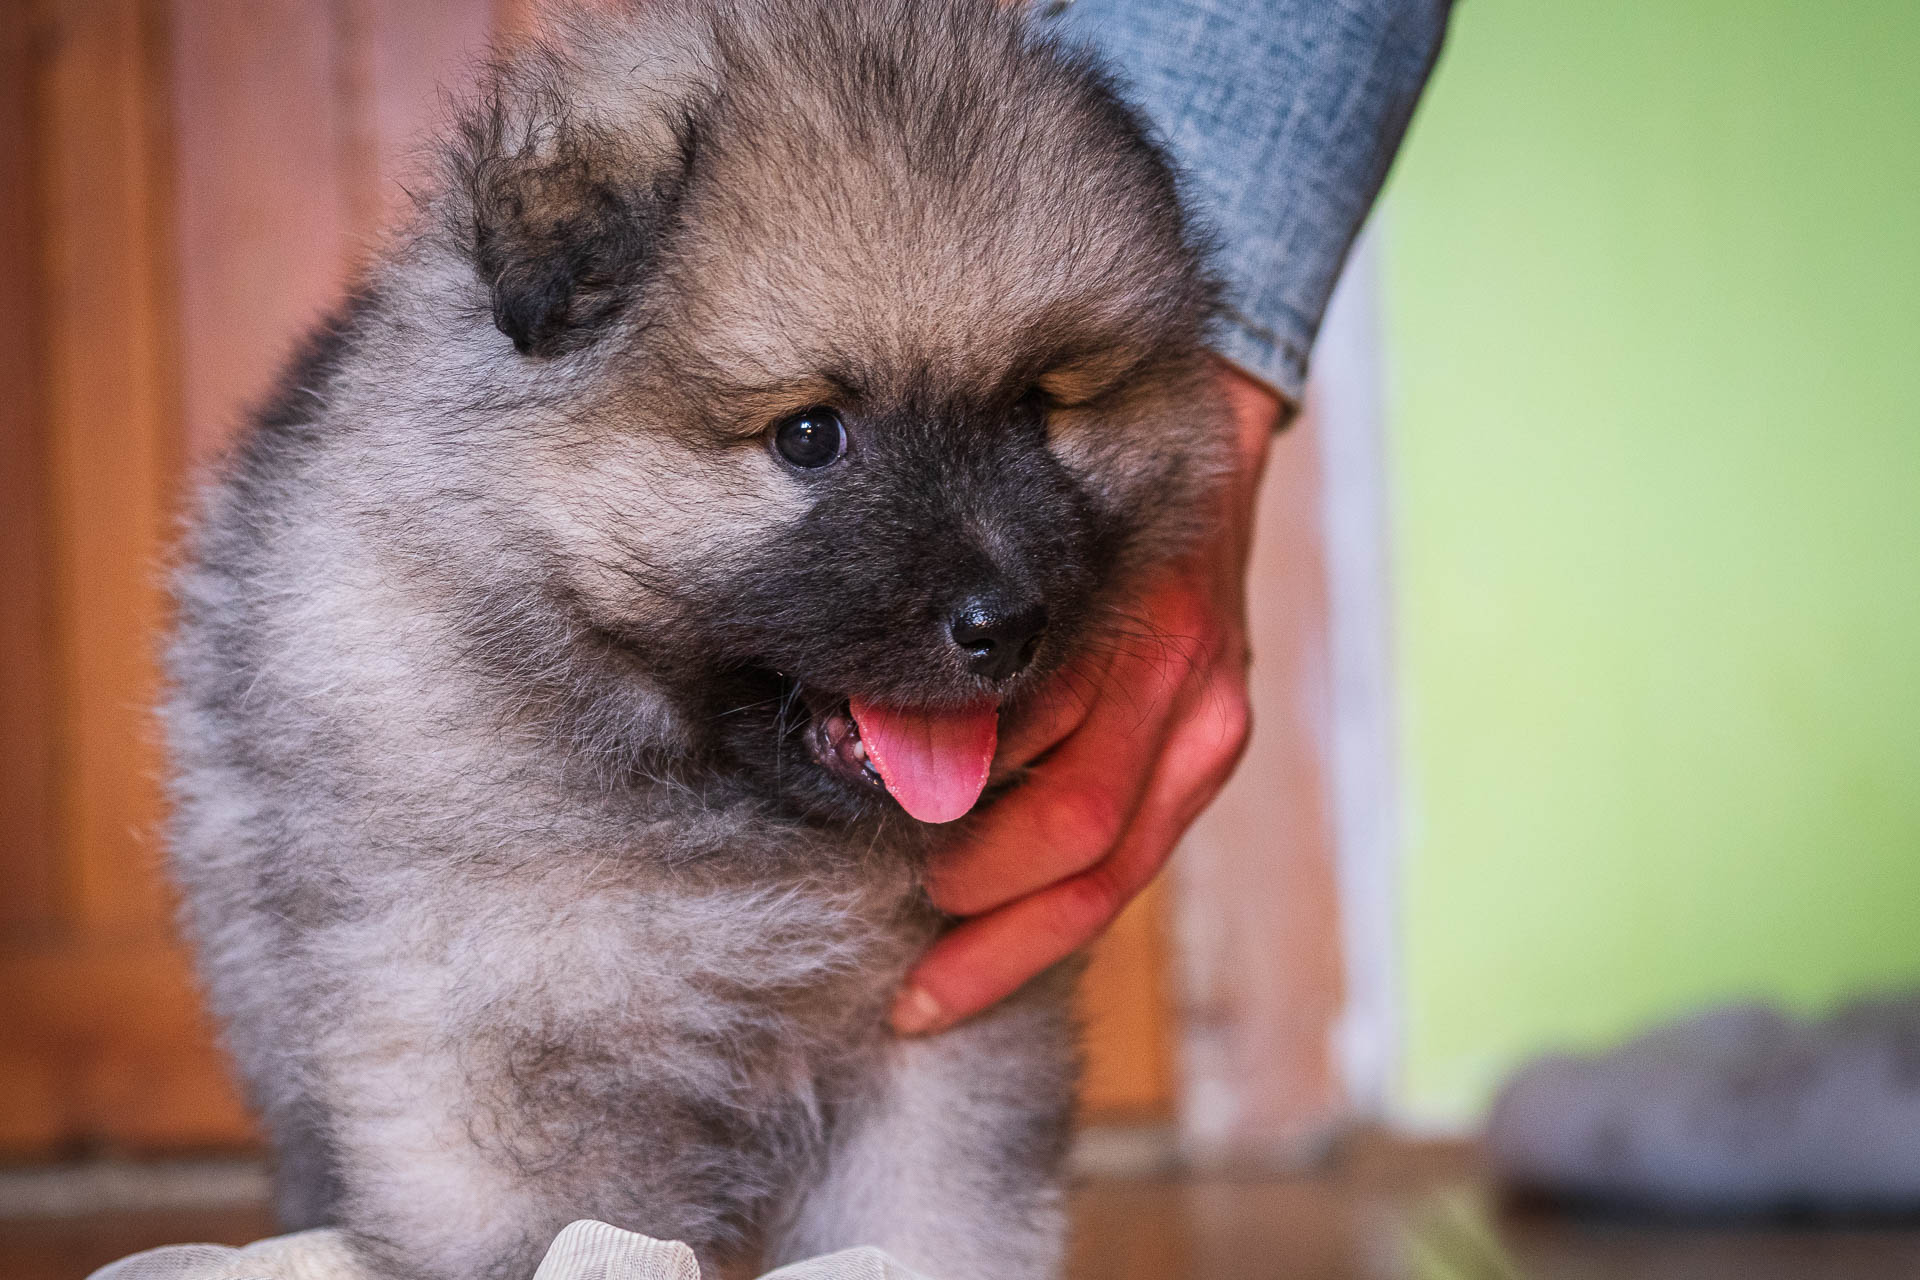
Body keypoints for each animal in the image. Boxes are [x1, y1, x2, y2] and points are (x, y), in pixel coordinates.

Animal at [165, 2, 1221, 1280]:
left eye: (1034, 406)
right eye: (810, 434)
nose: (1005, 621)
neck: (730, 824)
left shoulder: (934, 1052)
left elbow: (929, 1224)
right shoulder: (513, 1058)